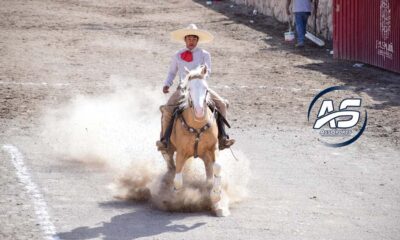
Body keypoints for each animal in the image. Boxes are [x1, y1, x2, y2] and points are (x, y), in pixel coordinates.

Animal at [159, 64, 228, 217]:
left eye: (206, 89)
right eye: (188, 89)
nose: (199, 111)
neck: (197, 127)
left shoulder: (213, 148)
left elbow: (217, 168)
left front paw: (216, 196)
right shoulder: (181, 152)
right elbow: (178, 180)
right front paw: (176, 197)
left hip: (205, 156)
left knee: (209, 174)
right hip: (169, 148)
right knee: (169, 163)